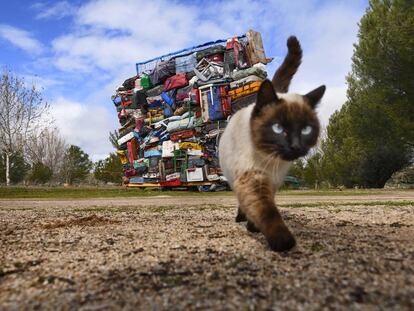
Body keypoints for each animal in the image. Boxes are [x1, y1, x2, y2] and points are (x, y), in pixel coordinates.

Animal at [218, 35, 326, 252]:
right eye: (278, 128)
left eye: (306, 129)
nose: (295, 146)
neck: (269, 161)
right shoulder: (251, 179)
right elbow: (266, 212)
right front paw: (283, 242)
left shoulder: (272, 182)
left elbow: (265, 209)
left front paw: (253, 227)